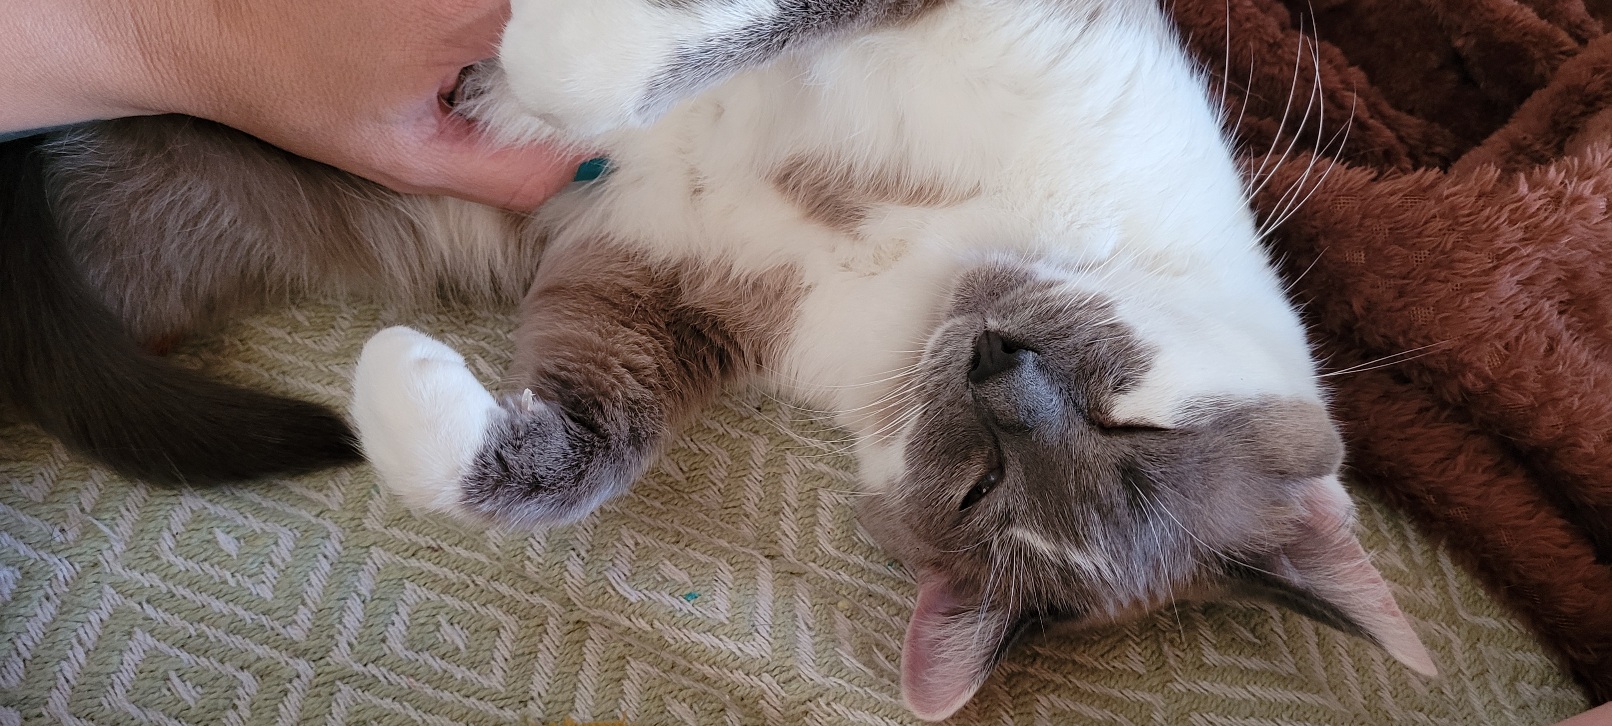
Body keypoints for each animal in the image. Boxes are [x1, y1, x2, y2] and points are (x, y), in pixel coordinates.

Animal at [0, 0, 1437, 716]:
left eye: (984, 490)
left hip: (163, 219)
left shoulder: (647, 284)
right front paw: (549, 61)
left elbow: (572, 454)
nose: (994, 364)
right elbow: (694, 33)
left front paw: (402, 402)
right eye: (1133, 424)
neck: (934, 268)